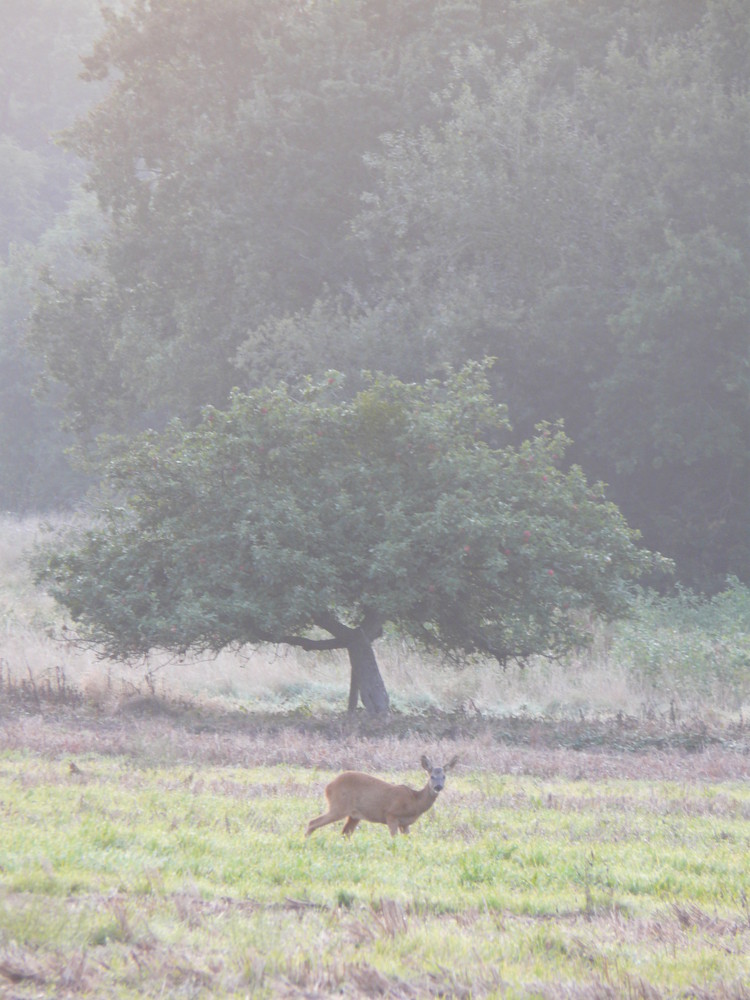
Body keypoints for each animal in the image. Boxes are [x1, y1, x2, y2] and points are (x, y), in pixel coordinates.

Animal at [304, 752, 458, 840]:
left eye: (444, 777)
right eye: (432, 776)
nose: (438, 787)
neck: (414, 801)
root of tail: (328, 787)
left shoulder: (405, 824)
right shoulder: (391, 815)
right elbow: (394, 839)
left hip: (353, 815)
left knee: (344, 834)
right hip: (338, 806)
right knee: (313, 822)